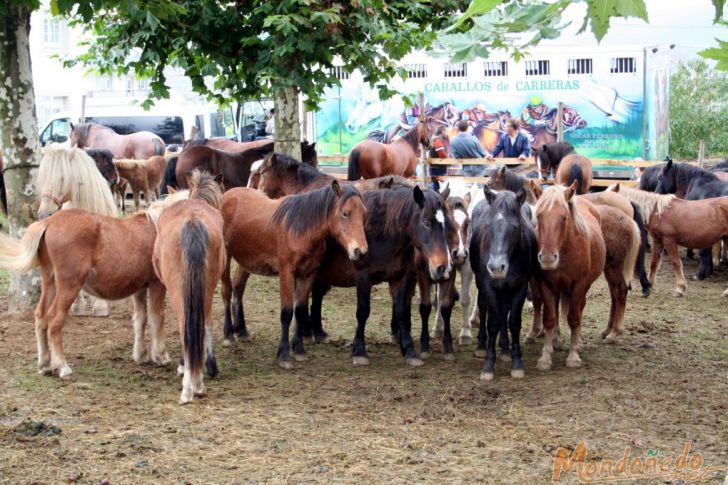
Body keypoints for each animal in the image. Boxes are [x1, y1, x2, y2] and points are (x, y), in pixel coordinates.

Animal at [151, 172, 225, 402]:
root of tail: (192, 220)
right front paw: (212, 367)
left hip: (178, 291)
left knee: (185, 325)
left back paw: (189, 384)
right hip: (206, 288)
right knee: (203, 323)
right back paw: (200, 378)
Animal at [470, 187, 536, 380]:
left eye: (515, 227)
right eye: (489, 226)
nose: (496, 267)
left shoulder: (519, 287)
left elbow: (513, 322)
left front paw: (516, 363)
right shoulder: (489, 286)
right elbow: (492, 322)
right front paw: (488, 366)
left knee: (504, 311)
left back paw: (505, 349)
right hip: (481, 283)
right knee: (483, 307)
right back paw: (481, 346)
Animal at [528, 180, 604, 368]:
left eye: (564, 217)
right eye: (538, 216)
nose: (547, 258)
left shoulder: (578, 286)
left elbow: (574, 318)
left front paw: (573, 355)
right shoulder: (545, 284)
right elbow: (549, 318)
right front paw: (545, 356)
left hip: (584, 287)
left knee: (580, 308)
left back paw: (578, 342)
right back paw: (555, 339)